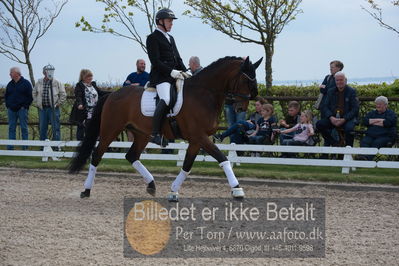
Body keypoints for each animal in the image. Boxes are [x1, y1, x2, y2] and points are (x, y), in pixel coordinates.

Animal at [69, 56, 262, 202]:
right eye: (245, 80)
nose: (241, 108)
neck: (204, 94)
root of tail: (111, 94)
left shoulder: (196, 140)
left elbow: (187, 165)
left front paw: (173, 192)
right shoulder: (199, 136)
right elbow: (222, 158)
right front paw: (237, 190)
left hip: (141, 134)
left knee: (132, 156)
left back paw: (151, 185)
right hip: (110, 129)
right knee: (97, 155)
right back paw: (86, 190)